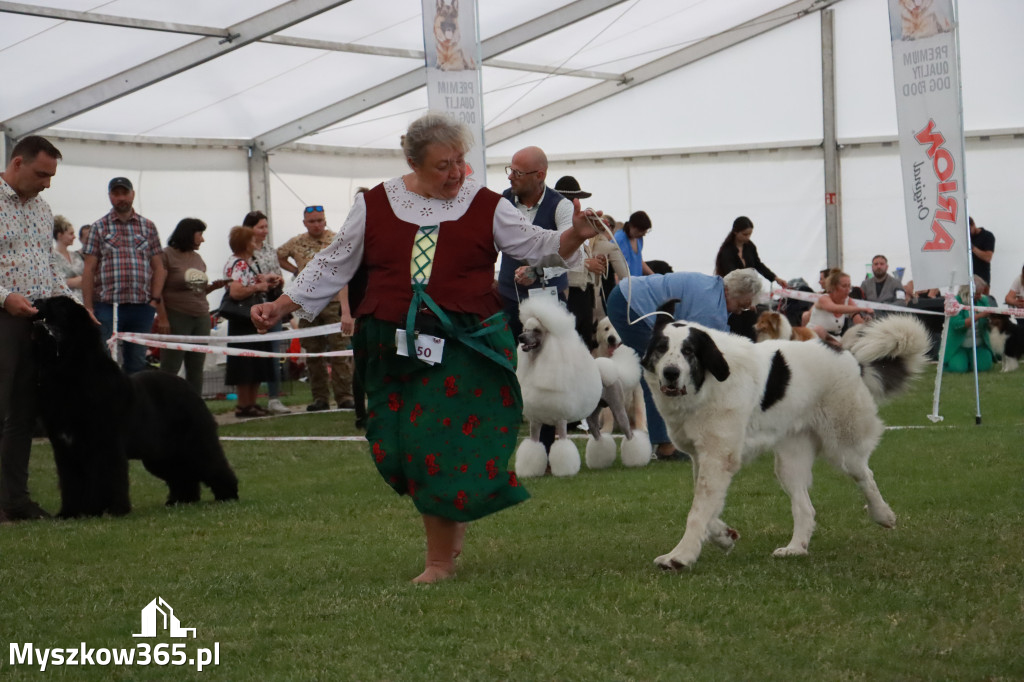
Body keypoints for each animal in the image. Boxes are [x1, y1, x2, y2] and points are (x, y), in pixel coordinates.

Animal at [30, 296, 239, 516]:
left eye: (59, 305)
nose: (36, 301)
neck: (71, 370)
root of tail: (189, 387)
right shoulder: (65, 448)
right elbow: (71, 481)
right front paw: (71, 512)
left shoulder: (105, 442)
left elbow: (108, 476)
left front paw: (113, 509)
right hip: (161, 454)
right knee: (182, 474)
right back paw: (181, 500)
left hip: (195, 441)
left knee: (212, 464)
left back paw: (228, 495)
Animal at [516, 294, 651, 475]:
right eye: (525, 329)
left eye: (536, 330)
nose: (520, 338)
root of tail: (611, 368)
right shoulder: (535, 421)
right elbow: (533, 446)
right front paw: (528, 471)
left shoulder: (561, 420)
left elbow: (563, 446)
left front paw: (564, 471)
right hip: (594, 414)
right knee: (598, 436)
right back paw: (601, 461)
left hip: (618, 408)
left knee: (629, 434)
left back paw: (637, 459)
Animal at [638, 301, 929, 569]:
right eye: (661, 348)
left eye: (688, 351)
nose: (671, 373)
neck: (706, 383)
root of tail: (850, 357)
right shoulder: (705, 458)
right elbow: (707, 507)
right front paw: (724, 536)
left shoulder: (718, 458)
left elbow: (697, 512)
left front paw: (680, 556)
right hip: (790, 461)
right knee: (805, 507)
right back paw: (795, 548)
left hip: (844, 445)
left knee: (865, 475)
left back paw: (883, 515)